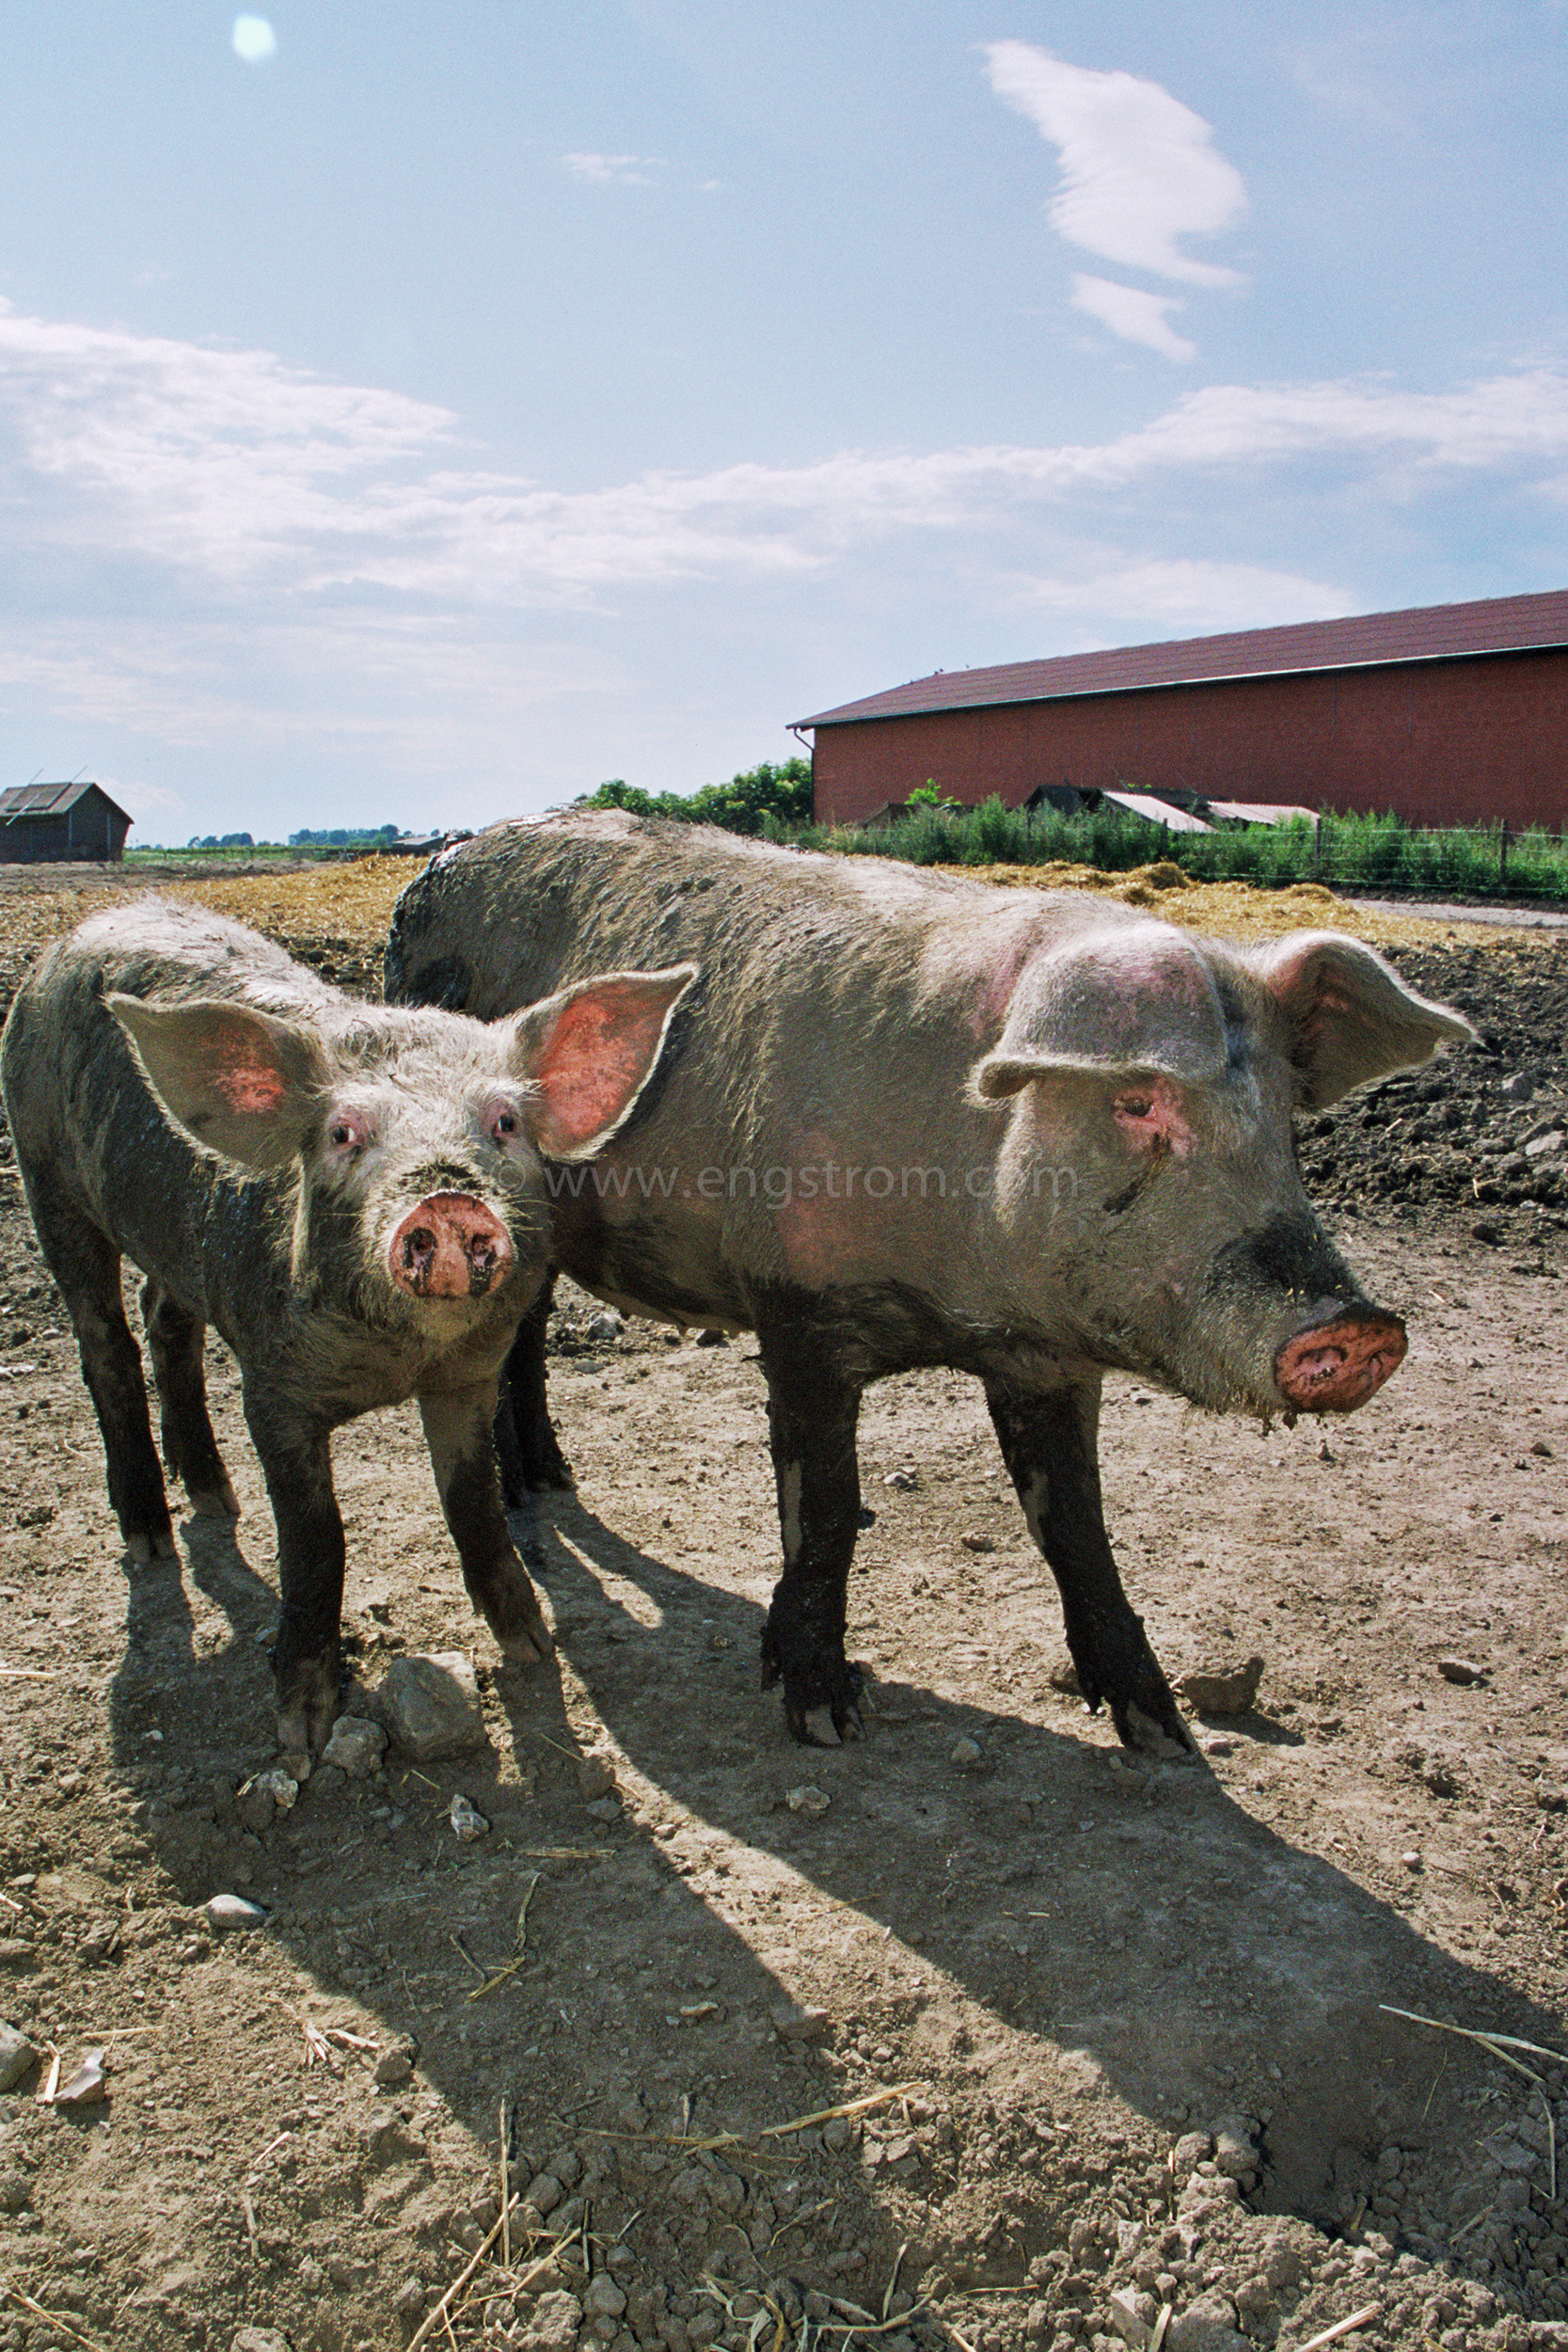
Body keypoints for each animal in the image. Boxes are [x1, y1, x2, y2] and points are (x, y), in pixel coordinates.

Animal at [1, 898, 690, 1769]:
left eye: (503, 1121)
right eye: (342, 1133)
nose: (446, 1199)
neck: (395, 1360)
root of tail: (75, 936)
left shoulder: (469, 1375)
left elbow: (471, 1500)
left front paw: (534, 1649)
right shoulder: (272, 1386)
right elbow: (315, 1534)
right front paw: (301, 1730)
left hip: (169, 1239)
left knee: (166, 1319)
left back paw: (214, 1495)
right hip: (46, 1176)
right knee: (105, 1347)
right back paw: (151, 1539)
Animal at [385, 818, 1476, 1759]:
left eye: (1286, 1114)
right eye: (1136, 1101)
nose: (1360, 1325)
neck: (963, 1303)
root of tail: (433, 869)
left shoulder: (1048, 1359)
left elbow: (1075, 1528)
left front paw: (1164, 1734)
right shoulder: (798, 1310)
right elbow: (825, 1509)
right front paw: (825, 1718)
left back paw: (549, 1483)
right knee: (517, 1341)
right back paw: (536, 1492)